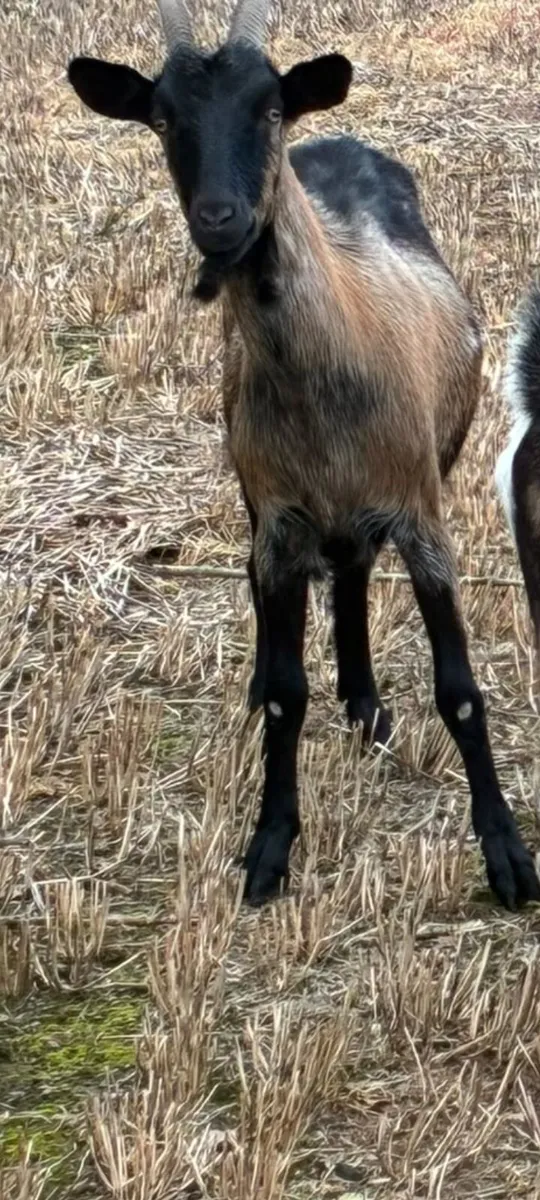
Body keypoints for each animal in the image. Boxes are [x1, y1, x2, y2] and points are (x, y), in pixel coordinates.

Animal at [68, 0, 540, 910]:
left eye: (269, 109)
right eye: (162, 118)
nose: (219, 218)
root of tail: (342, 138)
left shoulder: (422, 513)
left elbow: (461, 693)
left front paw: (507, 856)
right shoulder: (283, 519)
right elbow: (290, 696)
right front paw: (270, 844)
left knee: (354, 572)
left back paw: (364, 700)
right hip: (259, 491)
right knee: (282, 583)